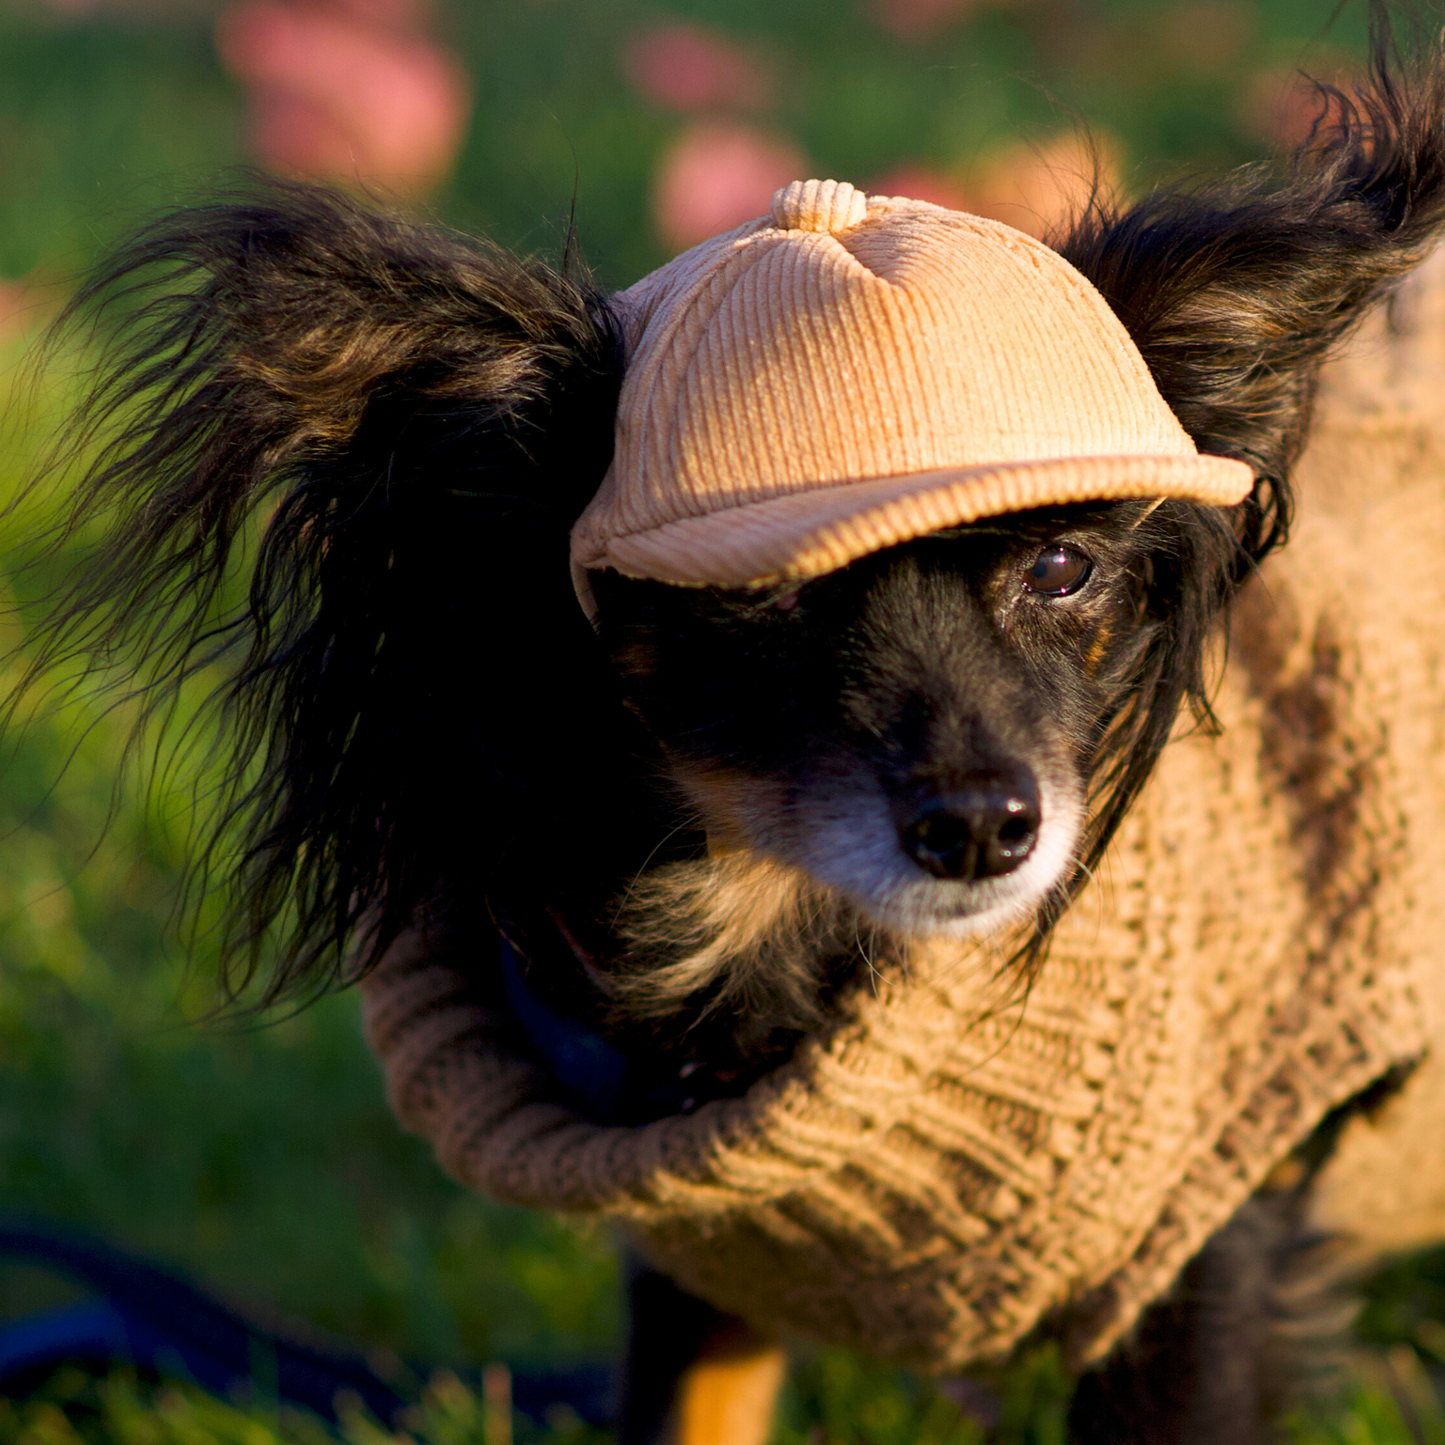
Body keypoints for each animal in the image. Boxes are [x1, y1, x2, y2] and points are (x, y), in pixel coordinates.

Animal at [16, 14, 1445, 1445]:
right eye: (758, 597)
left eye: (1060, 568)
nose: (983, 826)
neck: (771, 924)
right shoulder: (699, 1277)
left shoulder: (1203, 1264)